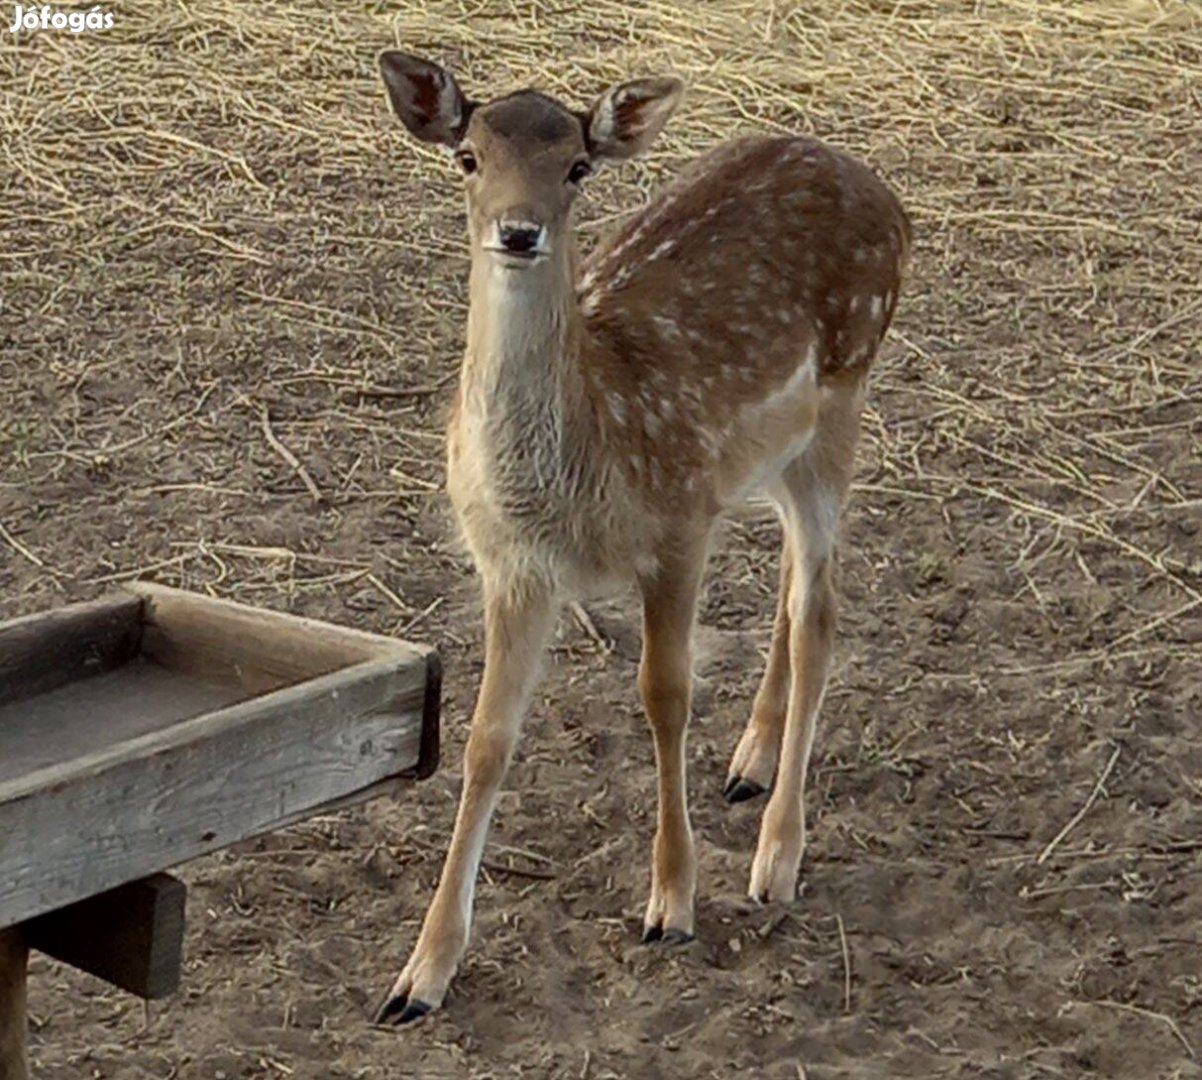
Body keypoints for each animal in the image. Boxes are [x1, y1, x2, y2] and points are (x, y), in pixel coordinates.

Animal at [375, 52, 908, 1028]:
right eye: (468, 157)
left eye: (578, 167)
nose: (518, 233)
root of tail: (885, 196)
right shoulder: (512, 566)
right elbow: (485, 739)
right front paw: (419, 977)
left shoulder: (677, 525)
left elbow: (665, 695)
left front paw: (672, 904)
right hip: (769, 457)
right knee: (791, 582)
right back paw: (748, 762)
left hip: (844, 397)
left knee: (821, 610)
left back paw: (777, 857)